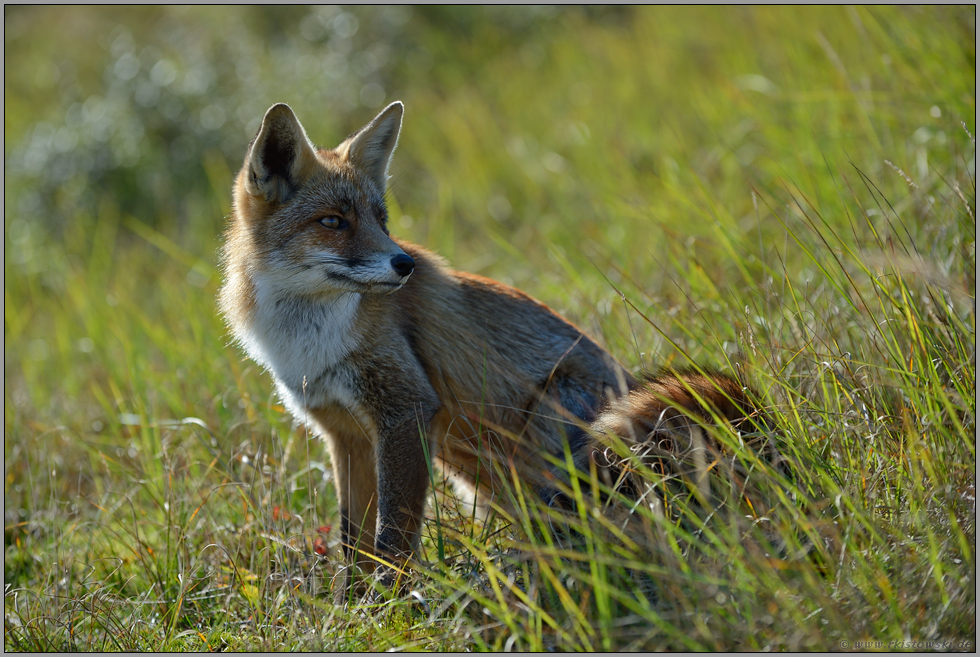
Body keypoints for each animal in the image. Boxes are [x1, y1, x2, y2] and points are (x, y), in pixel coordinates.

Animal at [218, 100, 776, 596]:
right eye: (333, 221)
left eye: (381, 219)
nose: (405, 265)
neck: (307, 343)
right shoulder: (346, 433)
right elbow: (353, 541)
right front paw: (351, 607)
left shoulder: (404, 411)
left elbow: (392, 539)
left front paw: (386, 611)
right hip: (477, 472)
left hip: (551, 435)